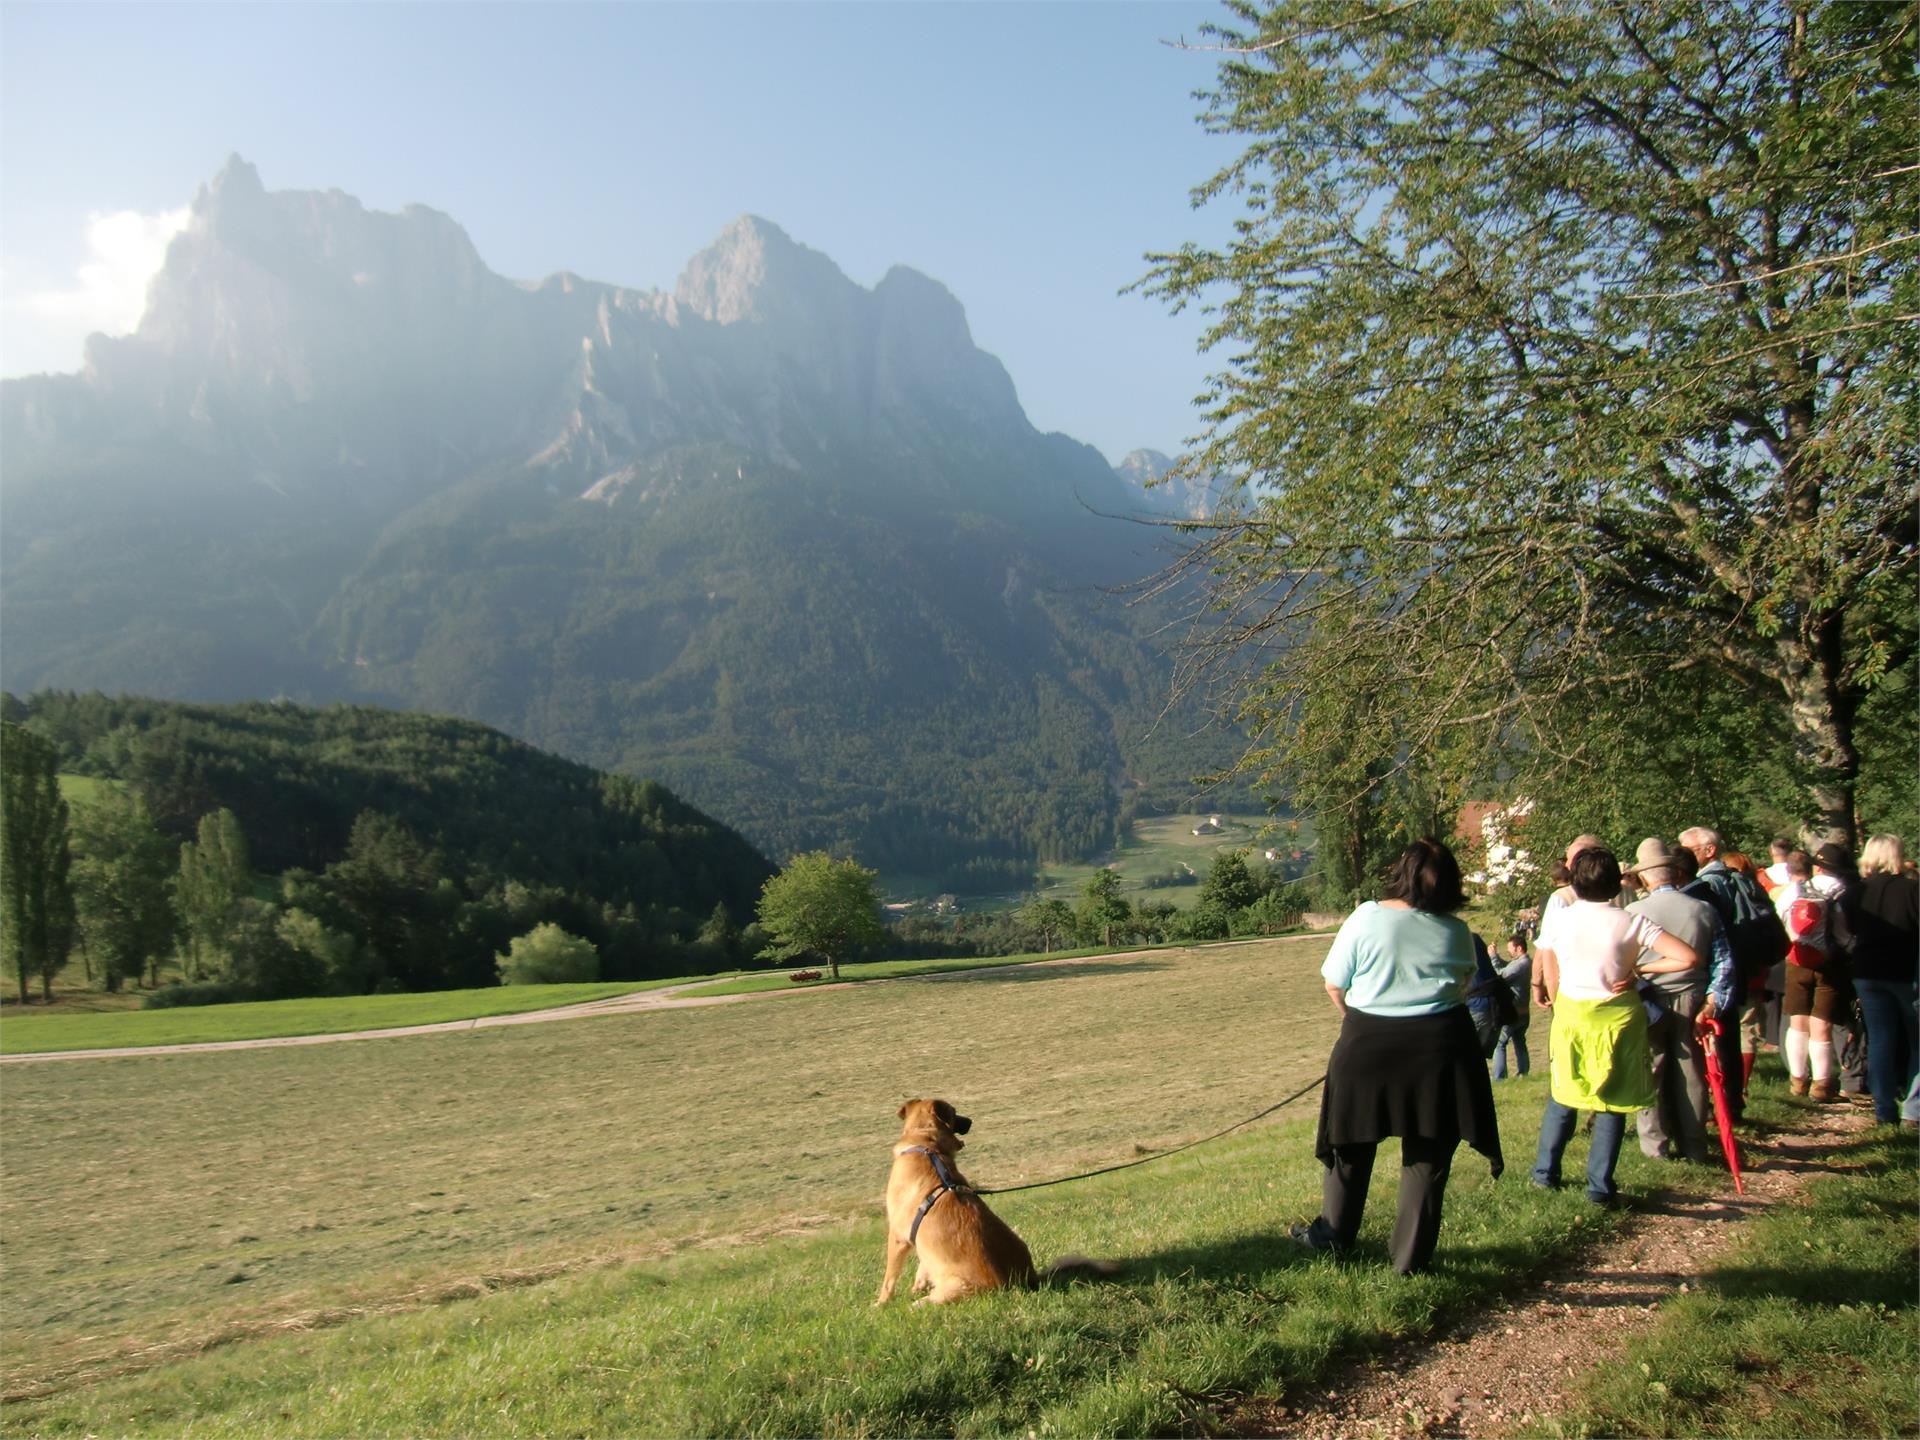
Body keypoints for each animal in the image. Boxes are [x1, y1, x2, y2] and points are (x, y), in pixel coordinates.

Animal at [875, 1105, 1113, 1305]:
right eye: (955, 1112)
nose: (970, 1121)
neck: (927, 1145)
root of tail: (1026, 1280)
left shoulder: (897, 1237)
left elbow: (889, 1278)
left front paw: (881, 1303)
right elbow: (923, 1265)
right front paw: (918, 1285)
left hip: (949, 1292)